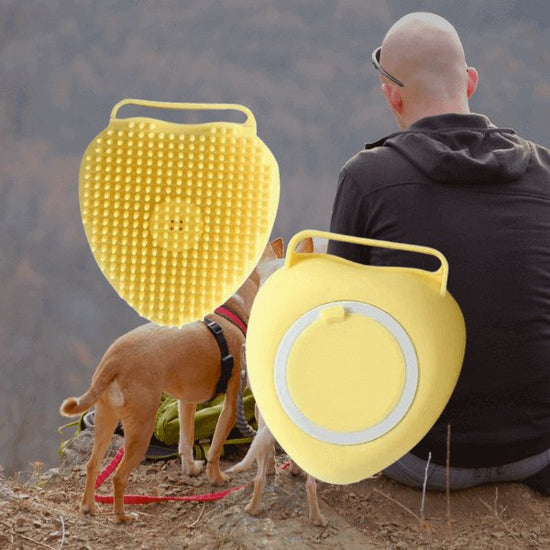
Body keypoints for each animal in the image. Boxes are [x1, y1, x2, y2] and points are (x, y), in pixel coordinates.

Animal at [61, 239, 284, 524]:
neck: (231, 311)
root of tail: (113, 361)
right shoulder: (232, 403)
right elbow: (215, 447)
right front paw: (216, 477)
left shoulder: (186, 401)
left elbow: (186, 441)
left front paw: (191, 469)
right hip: (140, 429)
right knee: (118, 476)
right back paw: (122, 516)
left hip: (106, 420)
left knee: (92, 465)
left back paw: (89, 507)